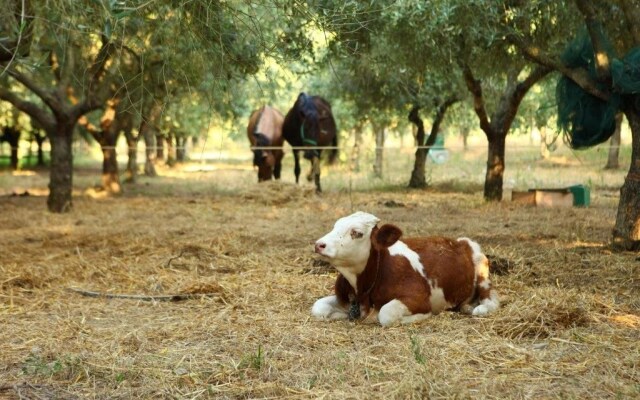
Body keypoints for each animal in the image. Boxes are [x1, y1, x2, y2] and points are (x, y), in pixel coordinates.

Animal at [312, 211, 500, 326]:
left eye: (357, 233)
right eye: (335, 226)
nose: (319, 244)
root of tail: (461, 241)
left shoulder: (418, 298)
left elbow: (386, 314)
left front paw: (422, 316)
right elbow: (318, 308)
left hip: (482, 272)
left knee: (491, 298)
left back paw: (479, 308)